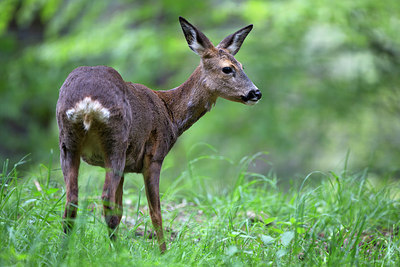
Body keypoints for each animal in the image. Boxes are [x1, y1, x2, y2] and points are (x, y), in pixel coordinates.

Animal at [57, 17, 262, 253]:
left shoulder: (127, 166)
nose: (255, 93)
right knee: (104, 197)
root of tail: (88, 102)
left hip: (68, 143)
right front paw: (164, 252)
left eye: (242, 66)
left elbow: (121, 210)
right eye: (227, 68)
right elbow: (155, 212)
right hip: (115, 141)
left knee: (72, 200)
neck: (170, 114)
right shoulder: (154, 156)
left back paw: (65, 252)